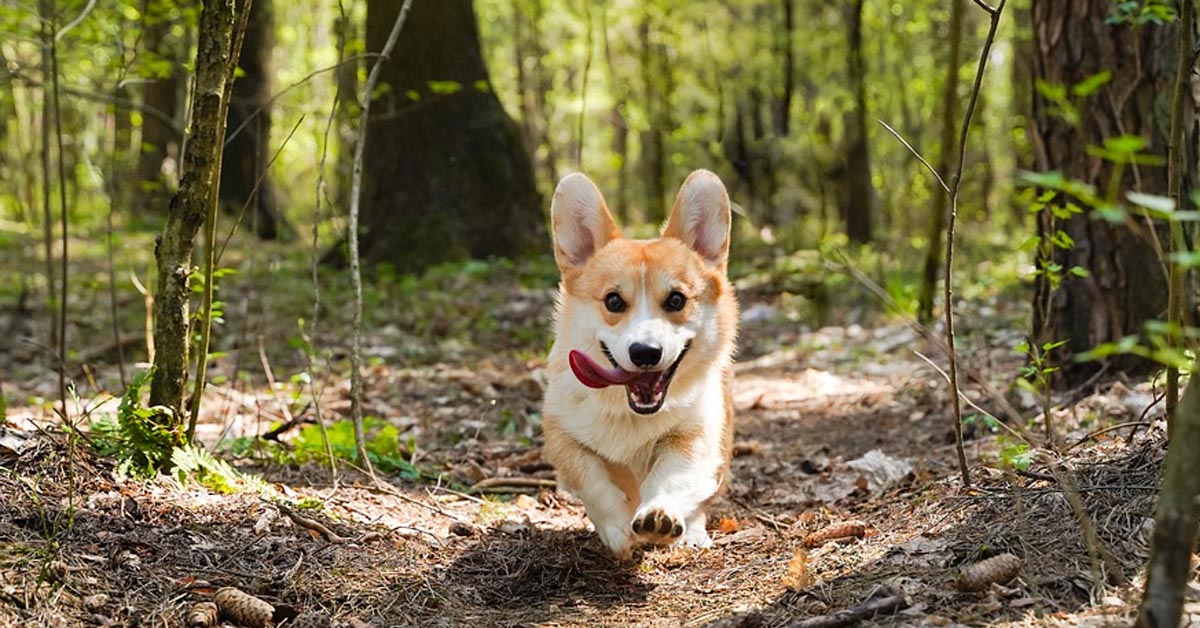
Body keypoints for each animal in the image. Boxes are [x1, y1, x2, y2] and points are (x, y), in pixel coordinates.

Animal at [540, 169, 734, 557]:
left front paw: (659, 514)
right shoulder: (561, 435)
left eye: (676, 300)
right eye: (613, 301)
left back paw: (692, 532)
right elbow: (591, 477)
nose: (645, 352)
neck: (631, 414)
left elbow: (672, 474)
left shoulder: (692, 434)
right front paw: (616, 529)